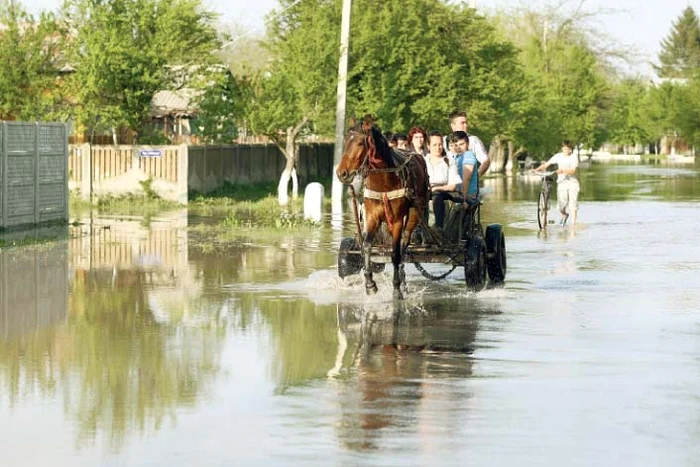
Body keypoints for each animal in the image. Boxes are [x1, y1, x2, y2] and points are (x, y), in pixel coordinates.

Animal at [336, 116, 430, 300]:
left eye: (360, 143)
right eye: (345, 141)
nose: (341, 173)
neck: (384, 181)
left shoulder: (398, 220)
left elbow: (395, 253)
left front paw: (396, 289)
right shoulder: (372, 217)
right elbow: (366, 247)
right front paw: (370, 284)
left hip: (415, 213)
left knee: (403, 245)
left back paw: (401, 279)